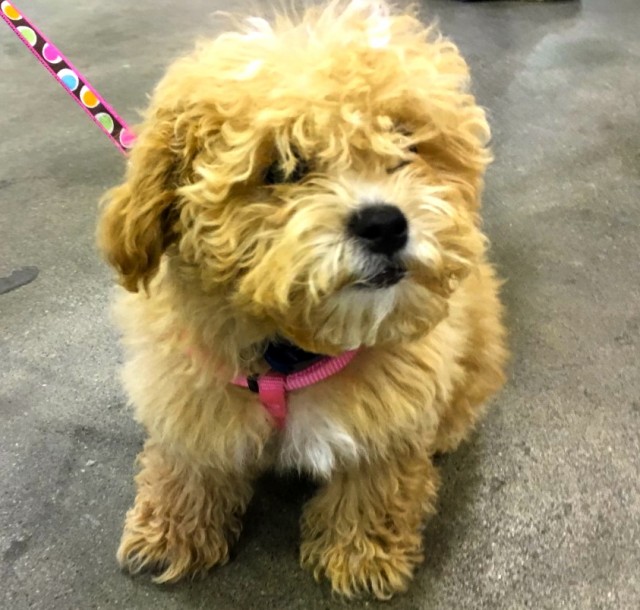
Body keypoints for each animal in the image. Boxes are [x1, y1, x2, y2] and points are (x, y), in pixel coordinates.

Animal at [97, 0, 508, 600]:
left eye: (406, 145)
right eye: (285, 168)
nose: (385, 223)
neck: (287, 346)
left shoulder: (390, 412)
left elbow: (373, 483)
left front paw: (360, 556)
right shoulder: (188, 384)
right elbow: (186, 464)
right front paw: (171, 533)